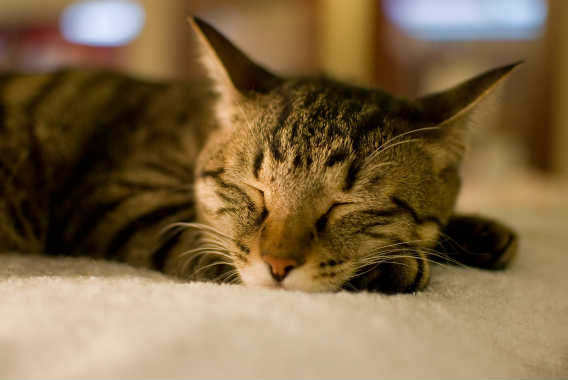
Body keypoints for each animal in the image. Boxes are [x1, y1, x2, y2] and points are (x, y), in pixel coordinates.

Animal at [0, 16, 520, 292]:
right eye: (253, 190)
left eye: (345, 205)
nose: (279, 265)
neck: (197, 124)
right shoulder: (116, 194)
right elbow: (204, 243)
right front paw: (392, 266)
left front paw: (475, 231)